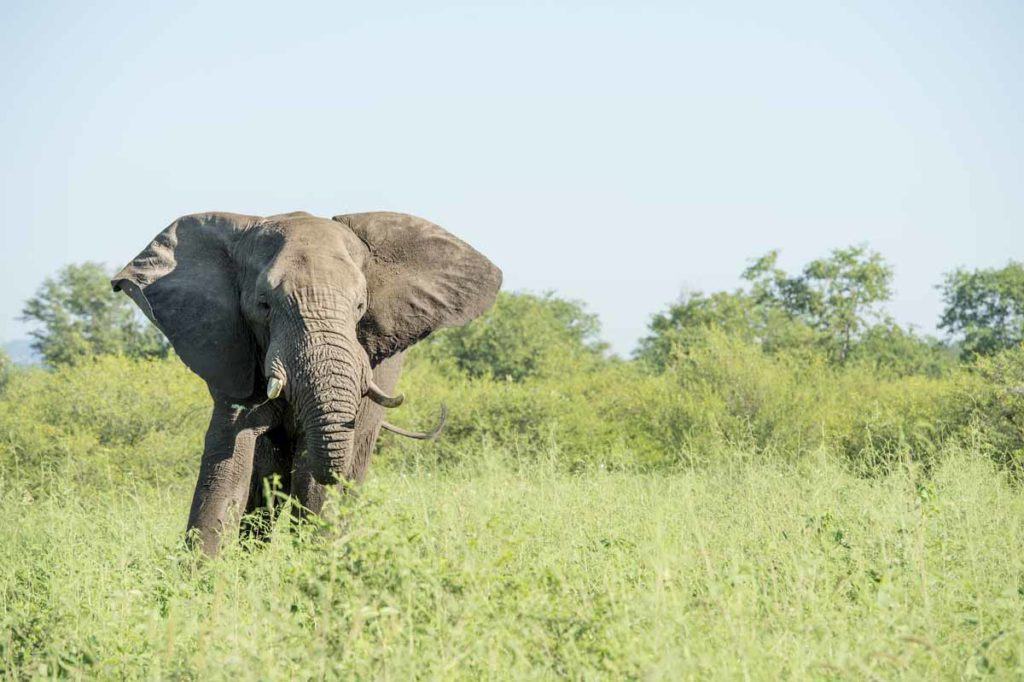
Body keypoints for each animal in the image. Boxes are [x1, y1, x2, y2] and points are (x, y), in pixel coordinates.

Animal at [114, 209, 501, 557]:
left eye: (360, 306)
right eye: (264, 305)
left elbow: (311, 474)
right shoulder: (231, 348)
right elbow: (229, 458)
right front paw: (202, 579)